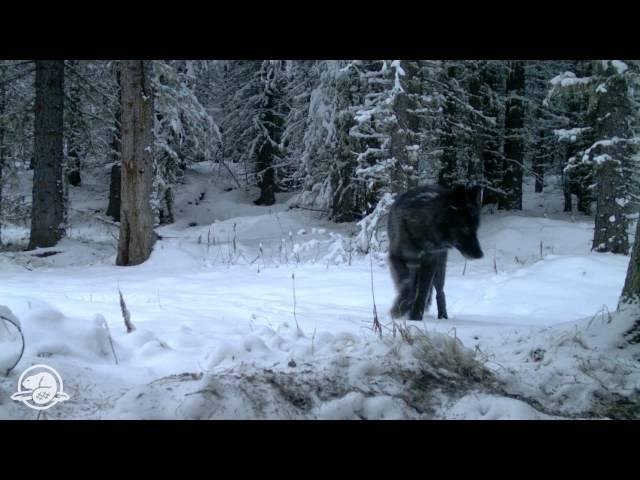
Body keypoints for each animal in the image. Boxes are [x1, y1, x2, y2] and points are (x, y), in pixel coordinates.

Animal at [388, 184, 482, 322]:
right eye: (465, 228)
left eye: (476, 229)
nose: (480, 254)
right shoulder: (395, 258)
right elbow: (407, 284)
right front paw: (401, 308)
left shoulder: (430, 263)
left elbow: (422, 293)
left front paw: (415, 317)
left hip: (439, 268)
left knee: (440, 292)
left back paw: (443, 317)